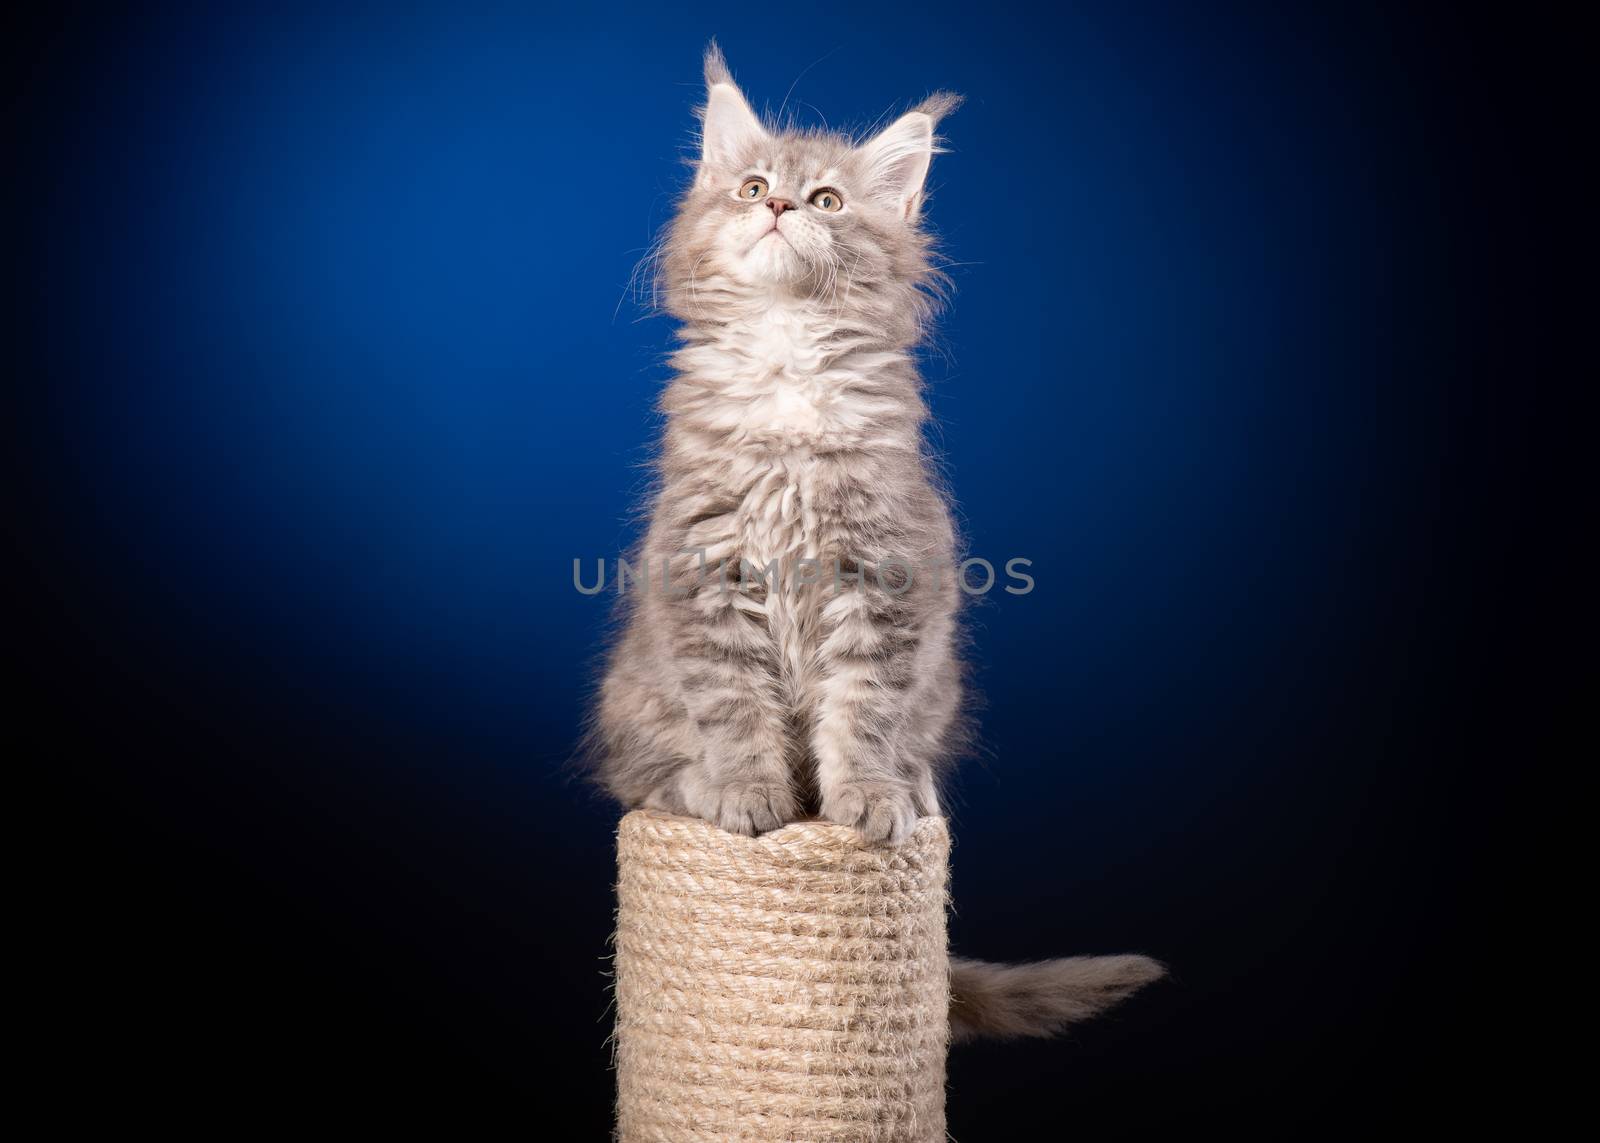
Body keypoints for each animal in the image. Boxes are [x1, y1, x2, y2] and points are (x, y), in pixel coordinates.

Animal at [588, 49, 1164, 1037]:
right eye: (751, 187)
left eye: (826, 201)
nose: (780, 205)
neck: (787, 367)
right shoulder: (704, 573)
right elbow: (734, 706)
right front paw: (749, 796)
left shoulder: (886, 573)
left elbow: (862, 707)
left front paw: (863, 800)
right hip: (631, 698)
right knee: (641, 773)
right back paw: (693, 787)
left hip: (941, 683)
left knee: (913, 735)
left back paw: (914, 785)